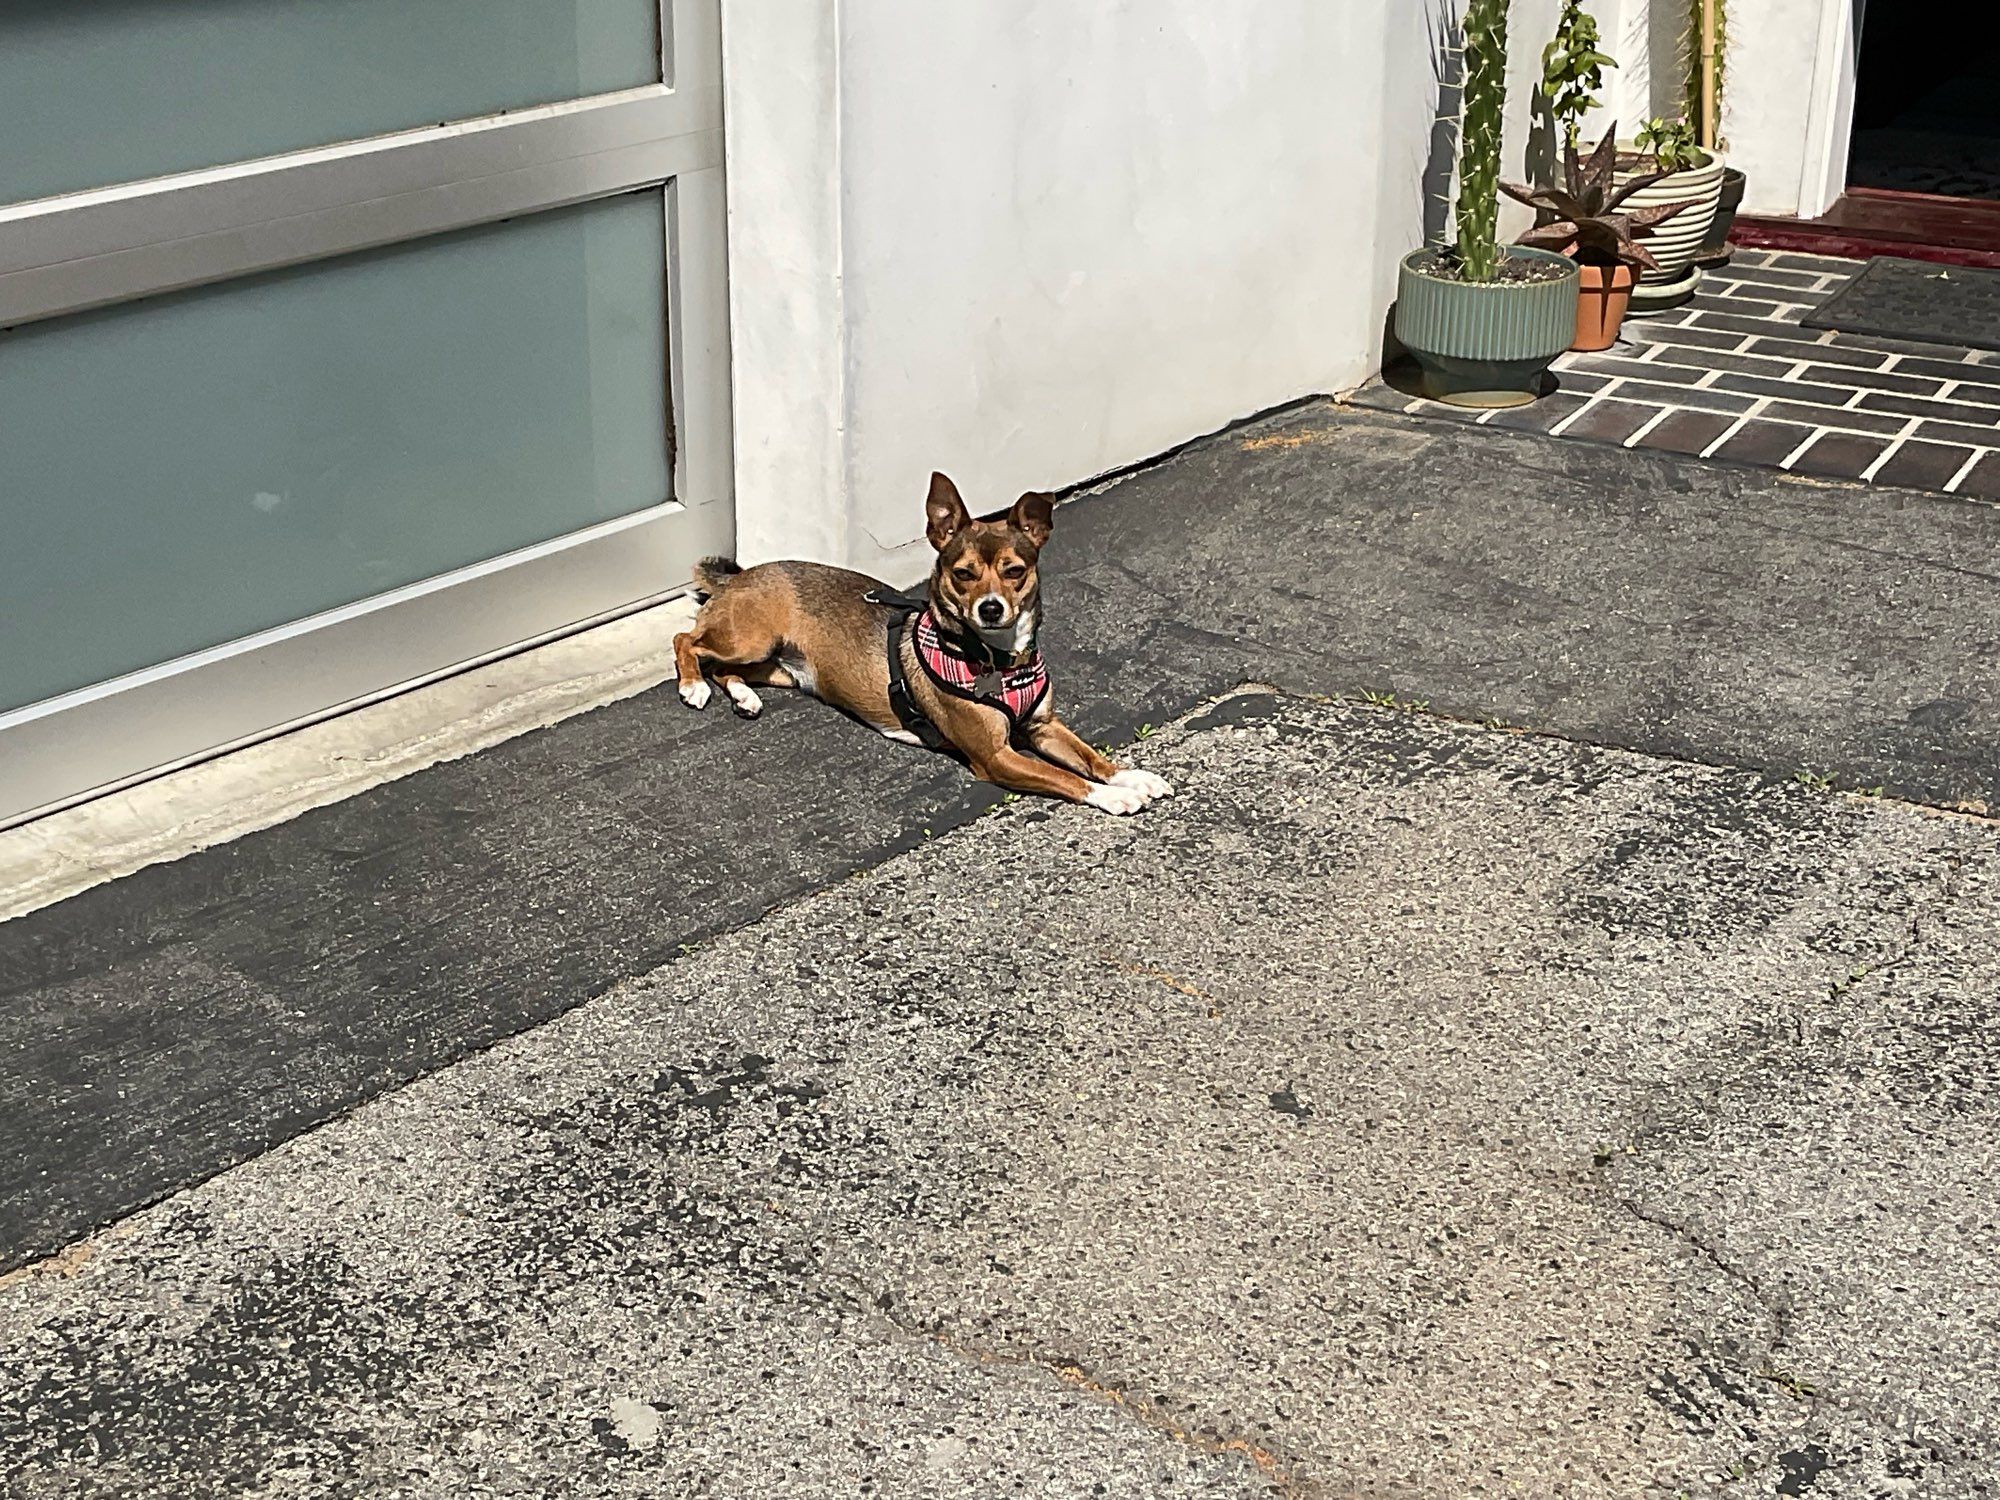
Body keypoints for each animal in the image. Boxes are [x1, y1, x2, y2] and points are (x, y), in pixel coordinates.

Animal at [672, 472, 1168, 816]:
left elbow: (1091, 756)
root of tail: (740, 577)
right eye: (963, 573)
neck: (999, 658)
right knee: (688, 641)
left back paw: (745, 697)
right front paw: (1112, 796)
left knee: (725, 668)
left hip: (780, 666)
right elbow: (1066, 778)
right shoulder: (997, 757)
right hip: (751, 639)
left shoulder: (1045, 726)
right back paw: (692, 687)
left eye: (1015, 571)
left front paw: (1131, 777)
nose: (990, 608)